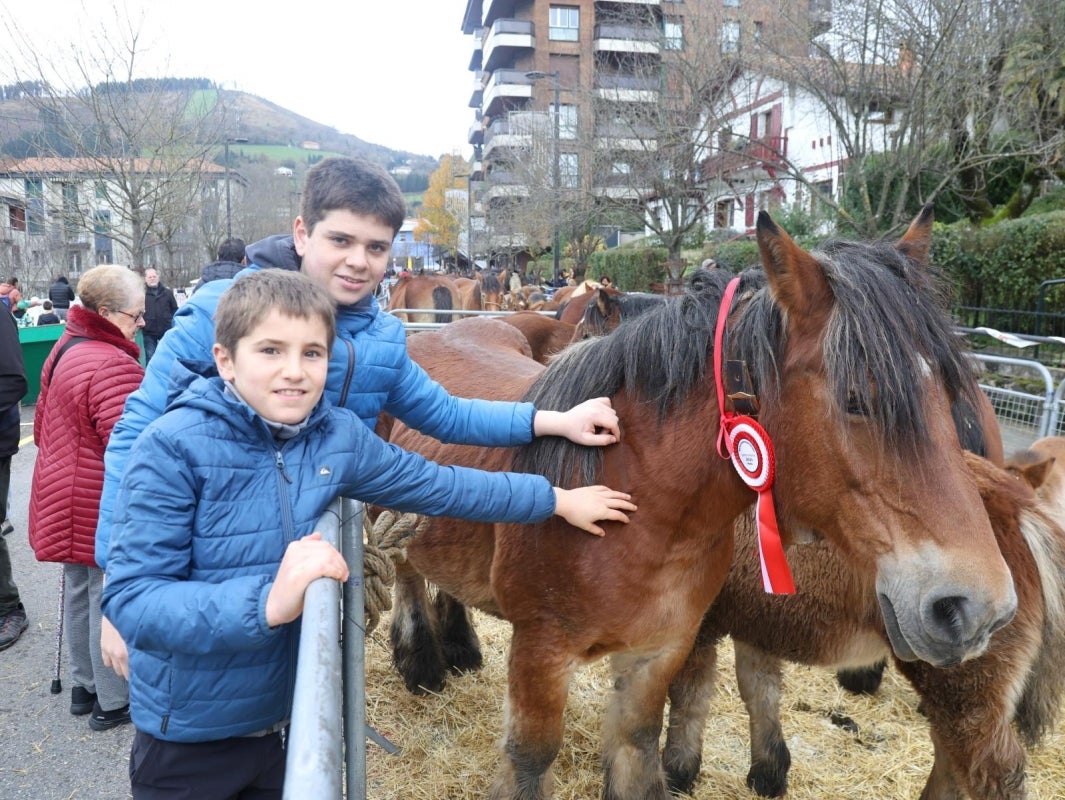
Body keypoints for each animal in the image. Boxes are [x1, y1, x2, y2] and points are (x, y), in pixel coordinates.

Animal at [385, 207, 1013, 800]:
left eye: (949, 394)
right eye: (856, 398)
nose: (977, 608)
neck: (639, 508)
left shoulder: (658, 654)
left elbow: (638, 748)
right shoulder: (542, 652)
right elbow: (530, 760)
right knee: (405, 573)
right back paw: (422, 665)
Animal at [664, 447, 1065, 800]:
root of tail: (1017, 507)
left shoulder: (698, 624)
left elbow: (688, 697)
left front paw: (676, 773)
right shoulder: (756, 620)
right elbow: (758, 690)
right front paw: (768, 773)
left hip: (966, 689)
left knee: (991, 769)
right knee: (951, 756)